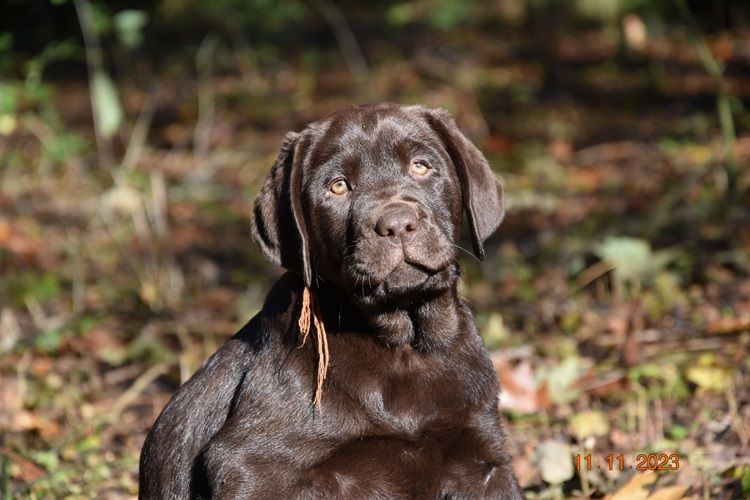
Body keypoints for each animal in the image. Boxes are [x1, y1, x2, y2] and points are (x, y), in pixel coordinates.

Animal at [139, 103, 521, 499]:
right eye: (338, 186)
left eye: (421, 166)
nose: (397, 224)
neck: (403, 345)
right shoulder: (248, 467)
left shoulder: (484, 463)